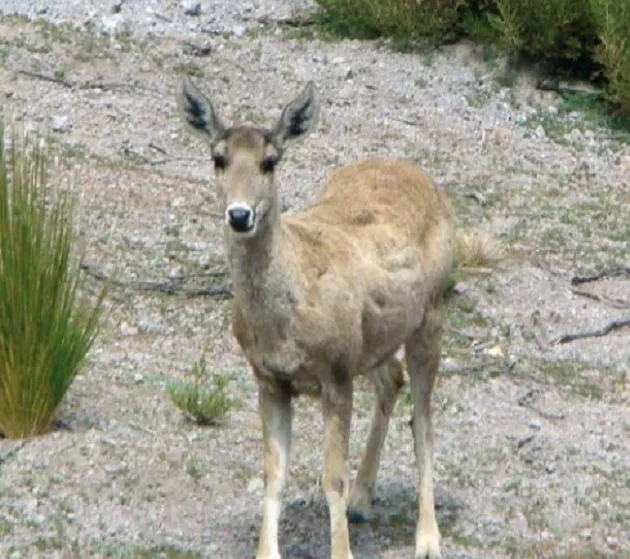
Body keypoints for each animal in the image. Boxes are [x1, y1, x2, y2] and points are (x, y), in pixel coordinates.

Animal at [178, 77, 470, 559]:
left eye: (270, 161)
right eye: (218, 158)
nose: (239, 215)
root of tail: (424, 177)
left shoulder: (335, 372)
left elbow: (332, 476)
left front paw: (343, 549)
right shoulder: (269, 378)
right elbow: (274, 474)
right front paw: (267, 552)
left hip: (430, 314)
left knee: (424, 424)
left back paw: (427, 539)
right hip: (372, 339)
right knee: (392, 380)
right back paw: (363, 499)